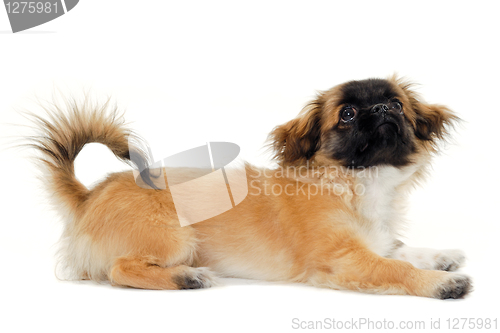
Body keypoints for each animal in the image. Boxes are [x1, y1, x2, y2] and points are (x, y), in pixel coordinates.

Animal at [32, 76, 472, 298]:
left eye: (397, 105)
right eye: (347, 114)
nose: (382, 109)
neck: (354, 180)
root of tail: (91, 194)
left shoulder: (373, 240)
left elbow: (401, 249)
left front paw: (441, 256)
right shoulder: (344, 260)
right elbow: (396, 267)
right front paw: (440, 283)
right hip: (176, 237)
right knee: (119, 269)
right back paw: (185, 278)